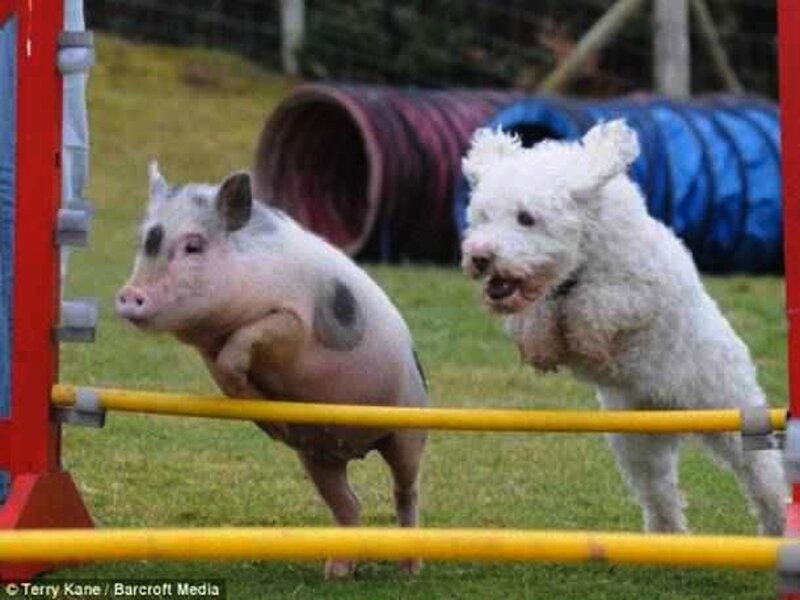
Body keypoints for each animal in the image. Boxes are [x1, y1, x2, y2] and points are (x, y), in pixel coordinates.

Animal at [116, 162, 428, 578]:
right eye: (144, 242)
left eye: (193, 246)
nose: (128, 295)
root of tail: (358, 446)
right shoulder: (208, 350)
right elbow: (226, 375)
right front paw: (275, 423)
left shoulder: (289, 320)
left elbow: (242, 345)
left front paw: (271, 418)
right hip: (318, 456)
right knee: (349, 503)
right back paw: (336, 572)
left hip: (408, 427)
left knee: (405, 490)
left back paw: (409, 569)